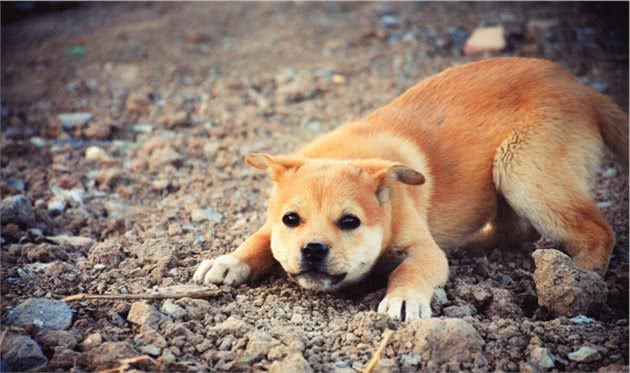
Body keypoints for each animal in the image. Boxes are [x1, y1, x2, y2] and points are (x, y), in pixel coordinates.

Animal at [195, 58, 628, 320]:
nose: (313, 250)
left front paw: (403, 299)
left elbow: (412, 269)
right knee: (515, 229)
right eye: (291, 219)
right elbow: (260, 238)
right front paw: (228, 261)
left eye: (350, 222)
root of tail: (583, 89)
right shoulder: (273, 223)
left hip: (523, 171)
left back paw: (580, 281)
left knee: (597, 231)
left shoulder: (423, 250)